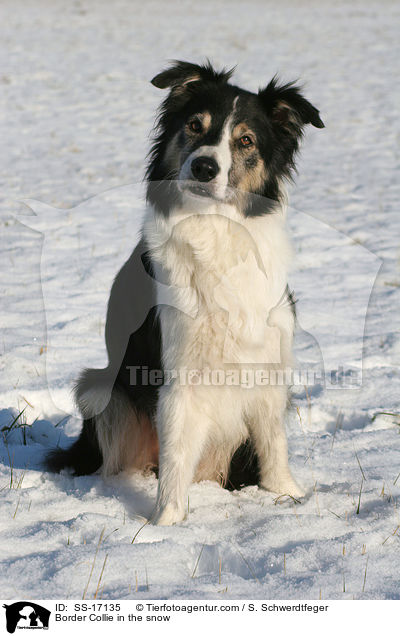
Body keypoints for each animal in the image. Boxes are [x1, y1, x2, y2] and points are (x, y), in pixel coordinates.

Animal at [45, 60, 324, 528]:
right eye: (195, 126)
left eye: (245, 140)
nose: (205, 168)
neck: (215, 227)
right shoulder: (177, 375)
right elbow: (176, 457)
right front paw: (167, 524)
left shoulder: (268, 364)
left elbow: (274, 443)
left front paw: (287, 495)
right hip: (99, 387)